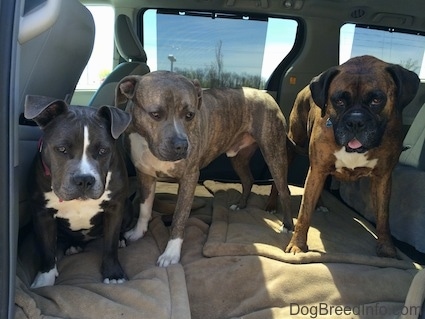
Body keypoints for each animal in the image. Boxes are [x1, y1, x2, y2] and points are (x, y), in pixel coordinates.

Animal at [25, 95, 132, 288]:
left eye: (103, 150)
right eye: (61, 149)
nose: (84, 179)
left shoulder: (115, 207)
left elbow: (110, 244)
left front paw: (114, 274)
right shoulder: (42, 214)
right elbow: (46, 249)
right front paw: (44, 280)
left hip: (127, 207)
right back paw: (73, 246)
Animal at [114, 70, 294, 268]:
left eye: (190, 115)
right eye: (155, 114)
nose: (181, 146)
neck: (147, 142)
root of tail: (267, 96)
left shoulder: (189, 177)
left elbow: (179, 217)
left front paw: (171, 253)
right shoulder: (144, 174)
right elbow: (145, 207)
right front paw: (137, 232)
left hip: (274, 153)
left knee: (284, 190)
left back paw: (287, 226)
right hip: (238, 158)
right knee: (248, 179)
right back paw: (240, 205)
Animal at [276, 56, 420, 258]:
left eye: (376, 99)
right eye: (339, 101)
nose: (355, 121)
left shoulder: (382, 178)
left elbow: (383, 216)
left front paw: (386, 248)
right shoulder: (318, 169)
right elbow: (304, 212)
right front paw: (297, 245)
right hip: (292, 145)